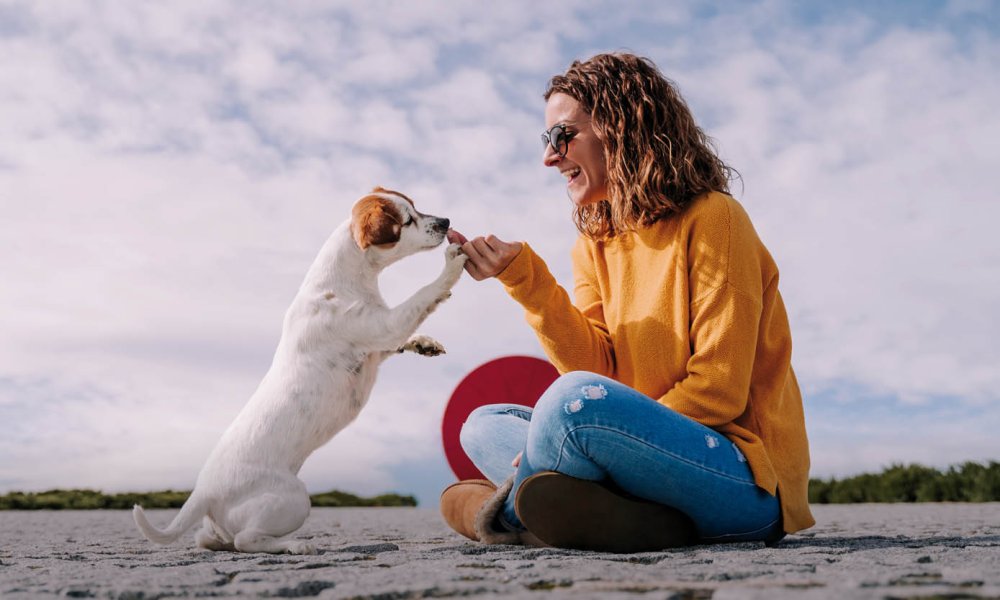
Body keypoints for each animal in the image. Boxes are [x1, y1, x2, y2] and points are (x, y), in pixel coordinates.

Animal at [132, 188, 468, 552]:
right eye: (407, 220)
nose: (446, 222)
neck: (345, 280)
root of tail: (202, 493)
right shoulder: (384, 325)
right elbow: (421, 296)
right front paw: (452, 264)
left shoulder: (379, 343)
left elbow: (407, 333)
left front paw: (424, 343)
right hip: (293, 499)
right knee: (247, 540)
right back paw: (294, 545)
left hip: (230, 523)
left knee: (215, 539)